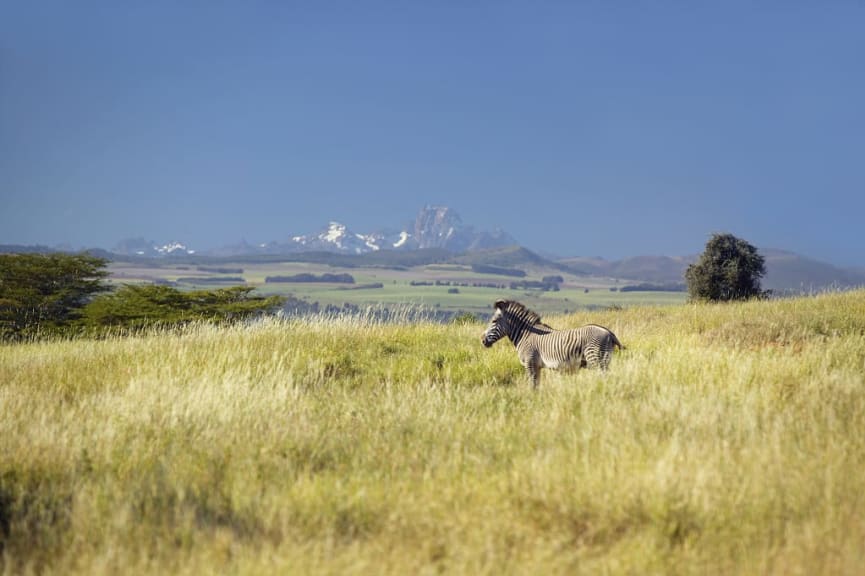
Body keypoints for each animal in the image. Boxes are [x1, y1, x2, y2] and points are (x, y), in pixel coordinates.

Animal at [482, 302, 624, 388]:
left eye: (494, 321)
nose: (482, 340)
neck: (525, 335)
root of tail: (608, 332)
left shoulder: (530, 363)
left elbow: (532, 385)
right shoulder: (537, 366)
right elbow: (537, 385)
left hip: (595, 359)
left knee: (604, 378)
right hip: (604, 360)